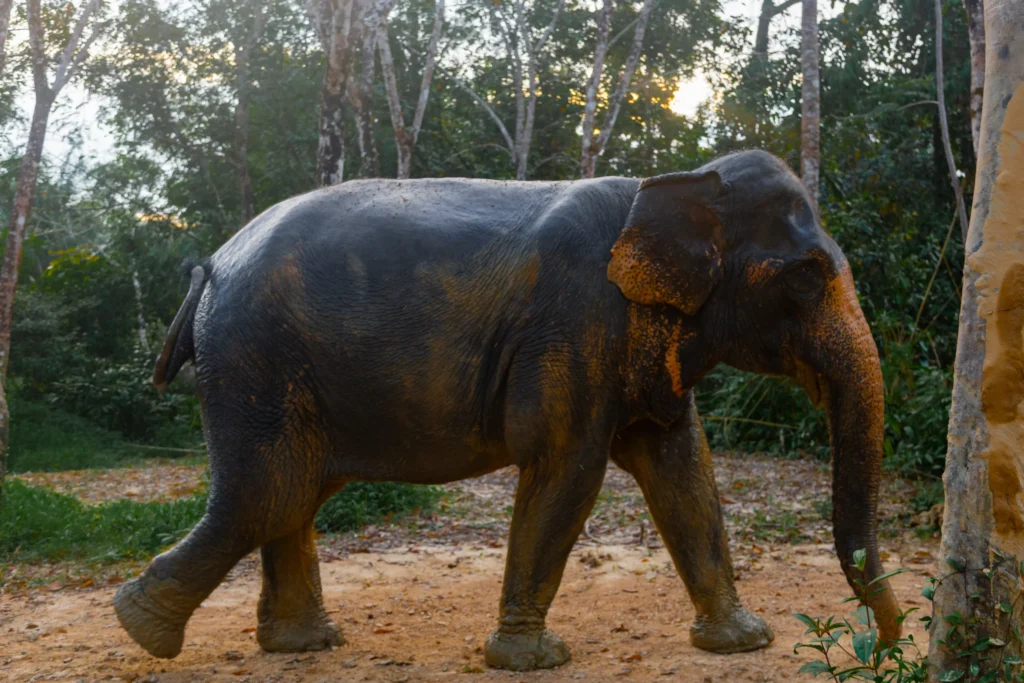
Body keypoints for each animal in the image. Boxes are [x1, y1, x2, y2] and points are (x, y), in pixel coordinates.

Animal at [113, 149, 901, 671]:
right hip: (257, 357)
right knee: (269, 492)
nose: (883, 645)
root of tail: (212, 266)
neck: (674, 182)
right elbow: (567, 468)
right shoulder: (574, 323)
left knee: (292, 495)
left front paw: (742, 642)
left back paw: (301, 645)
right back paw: (143, 629)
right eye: (808, 277)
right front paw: (535, 658)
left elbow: (683, 469)